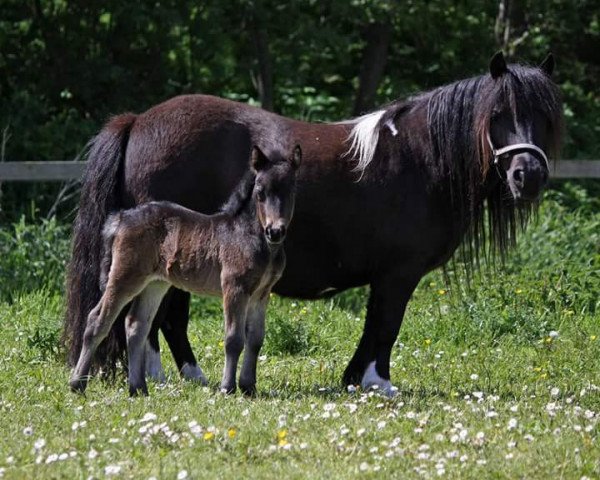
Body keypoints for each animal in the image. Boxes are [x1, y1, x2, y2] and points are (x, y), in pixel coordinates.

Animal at [71, 145, 302, 394]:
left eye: (291, 191)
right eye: (260, 192)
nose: (275, 231)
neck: (248, 236)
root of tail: (121, 218)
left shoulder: (261, 293)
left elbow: (256, 339)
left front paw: (249, 387)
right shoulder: (234, 288)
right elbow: (234, 339)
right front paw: (228, 388)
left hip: (155, 284)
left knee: (136, 325)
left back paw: (139, 388)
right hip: (125, 276)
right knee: (97, 320)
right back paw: (77, 384)